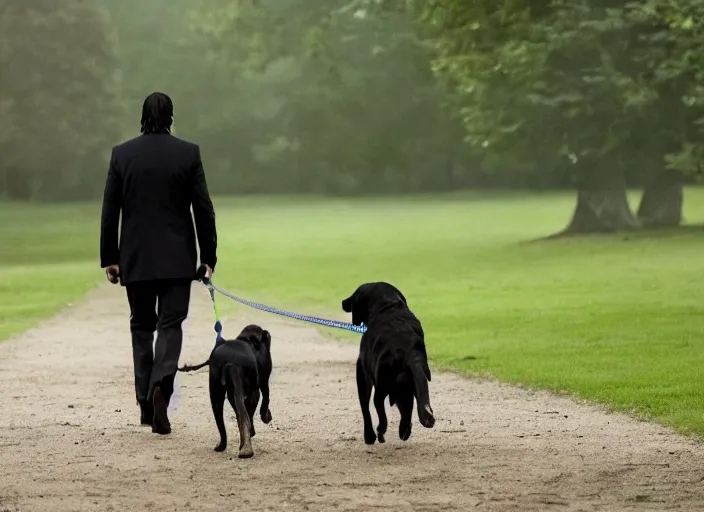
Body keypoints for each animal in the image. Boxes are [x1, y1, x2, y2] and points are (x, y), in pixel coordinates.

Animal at [179, 326, 272, 458]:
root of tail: (230, 363)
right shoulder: (262, 383)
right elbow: (265, 400)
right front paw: (266, 416)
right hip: (246, 393)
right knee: (245, 417)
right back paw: (246, 449)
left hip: (215, 392)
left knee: (225, 422)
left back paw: (227, 447)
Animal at [340, 282, 434, 446]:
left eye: (354, 295)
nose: (343, 302)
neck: (388, 304)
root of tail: (407, 350)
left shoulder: (362, 373)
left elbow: (365, 408)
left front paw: (369, 436)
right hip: (407, 386)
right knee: (407, 412)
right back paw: (404, 431)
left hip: (381, 384)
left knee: (378, 408)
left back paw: (379, 432)